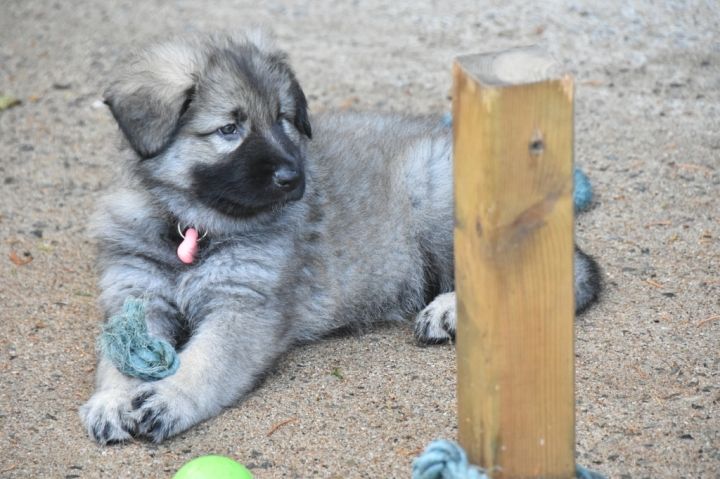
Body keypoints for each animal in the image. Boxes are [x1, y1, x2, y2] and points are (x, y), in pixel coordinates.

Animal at [80, 32, 601, 444]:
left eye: (283, 120)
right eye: (229, 128)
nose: (293, 177)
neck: (192, 224)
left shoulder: (243, 307)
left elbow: (207, 362)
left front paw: (172, 397)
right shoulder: (136, 293)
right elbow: (118, 355)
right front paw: (111, 399)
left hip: (439, 196)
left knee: (559, 277)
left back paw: (449, 311)